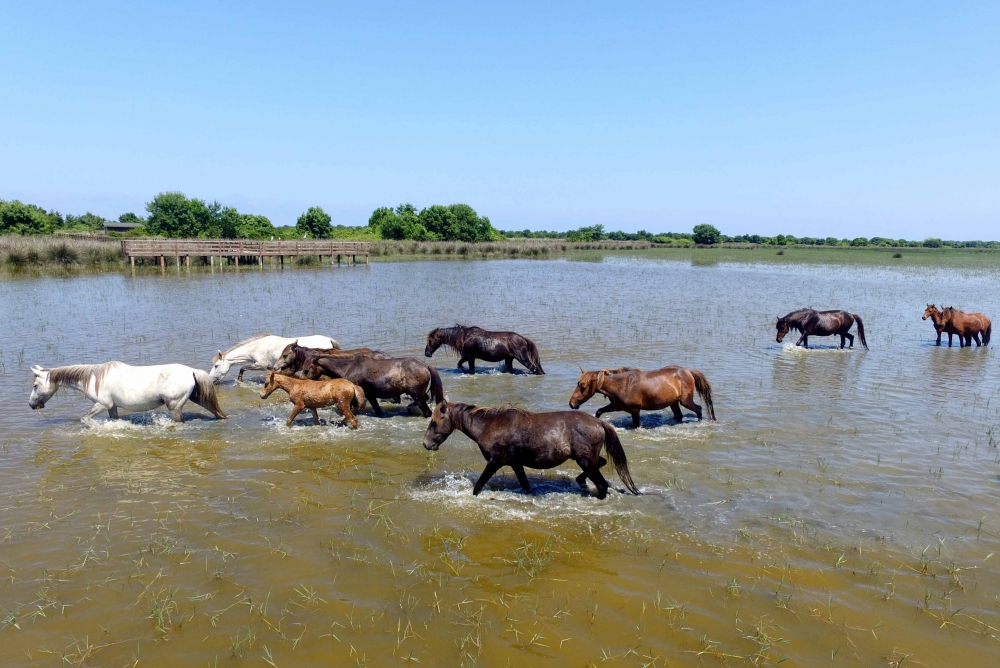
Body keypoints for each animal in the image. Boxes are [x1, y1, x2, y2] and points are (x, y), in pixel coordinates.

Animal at [28, 360, 228, 422]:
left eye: (35, 385)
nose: (31, 405)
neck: (94, 378)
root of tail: (192, 371)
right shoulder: (111, 407)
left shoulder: (102, 404)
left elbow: (84, 419)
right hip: (198, 398)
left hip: (175, 407)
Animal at [207, 332, 340, 384]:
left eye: (216, 365)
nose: (212, 380)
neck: (256, 347)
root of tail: (330, 340)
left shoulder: (260, 365)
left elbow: (242, 368)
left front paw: (239, 381)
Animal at [422, 400, 640, 498]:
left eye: (434, 422)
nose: (426, 444)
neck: (489, 425)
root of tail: (599, 423)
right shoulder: (515, 463)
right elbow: (525, 484)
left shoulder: (495, 462)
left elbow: (478, 486)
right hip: (586, 459)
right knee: (599, 464)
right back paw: (580, 481)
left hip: (585, 460)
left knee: (602, 485)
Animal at [568, 366, 716, 428]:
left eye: (583, 386)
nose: (572, 404)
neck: (623, 385)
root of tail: (688, 371)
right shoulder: (616, 406)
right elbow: (599, 411)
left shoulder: (635, 410)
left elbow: (635, 425)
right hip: (673, 402)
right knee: (679, 415)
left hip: (685, 401)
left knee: (699, 409)